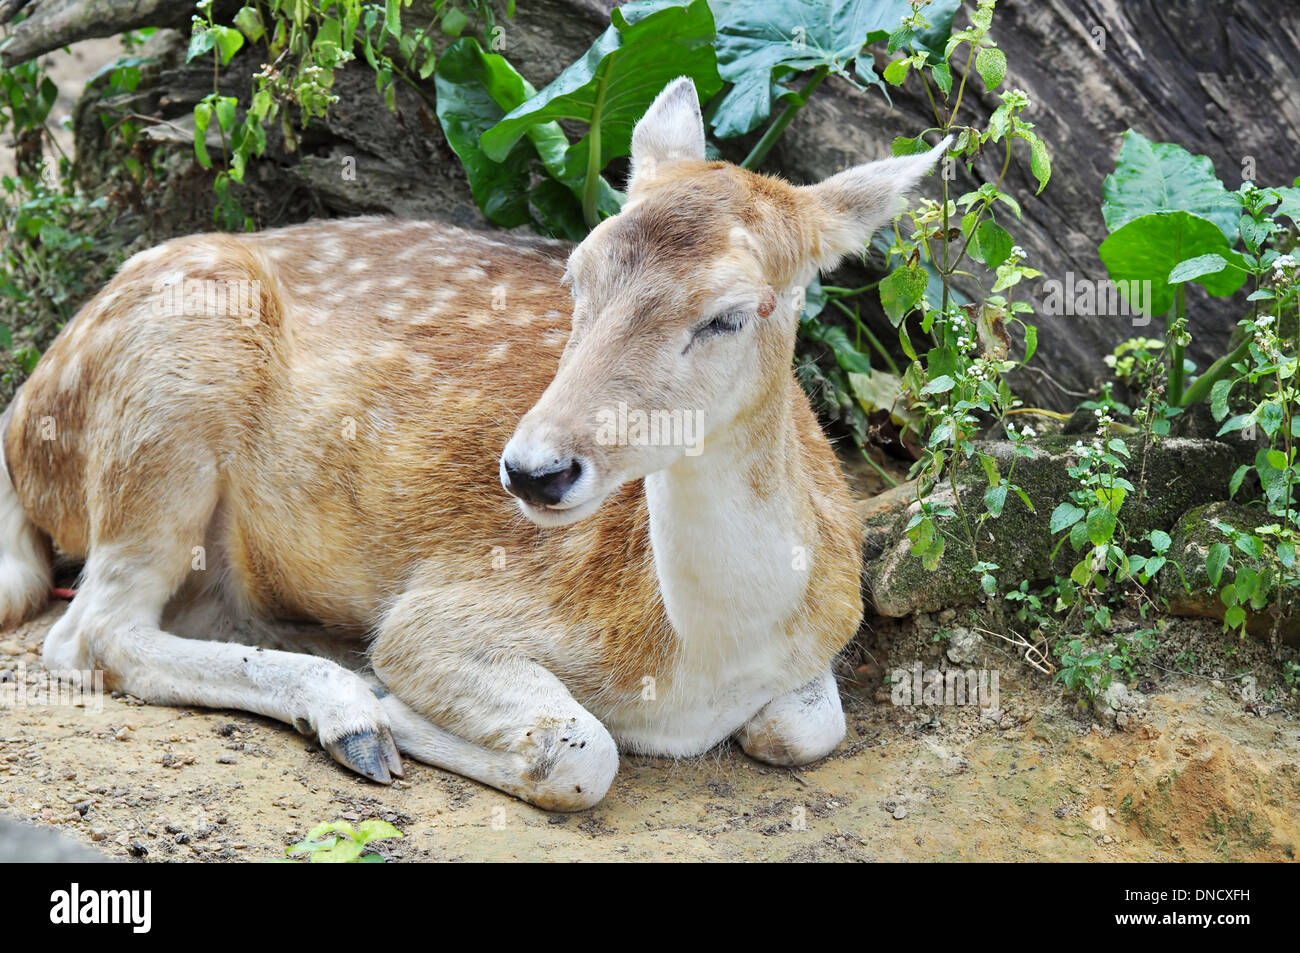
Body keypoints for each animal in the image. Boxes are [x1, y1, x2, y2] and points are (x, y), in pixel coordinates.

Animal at [0, 77, 946, 810]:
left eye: (731, 312)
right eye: (576, 273)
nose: (534, 469)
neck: (701, 663)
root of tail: (24, 410)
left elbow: (809, 724)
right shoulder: (445, 612)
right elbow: (583, 750)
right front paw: (384, 699)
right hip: (164, 400)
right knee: (89, 631)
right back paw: (348, 710)